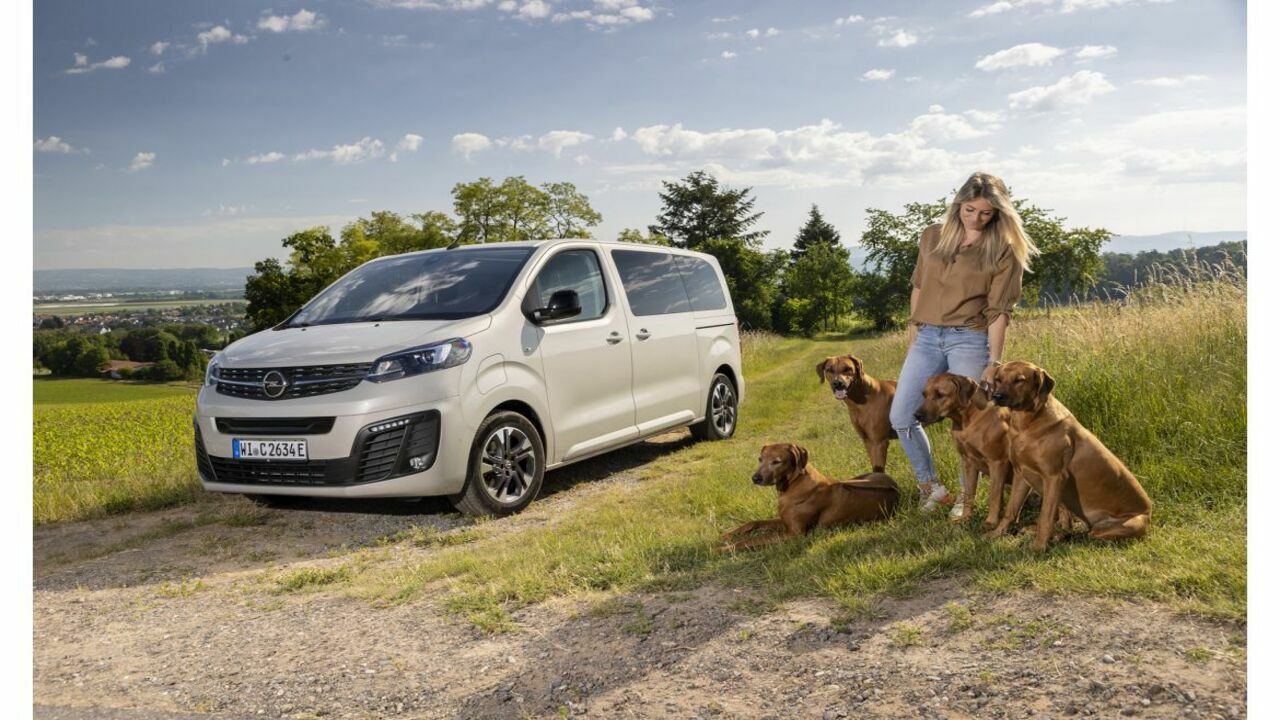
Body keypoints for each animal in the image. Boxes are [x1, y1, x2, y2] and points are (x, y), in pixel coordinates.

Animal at [721, 440, 901, 550]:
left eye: (776, 462)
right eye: (760, 459)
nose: (755, 478)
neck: (793, 485)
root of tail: (894, 484)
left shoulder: (795, 534)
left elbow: (752, 540)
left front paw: (726, 548)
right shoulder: (784, 521)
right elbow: (754, 523)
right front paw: (728, 534)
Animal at [916, 371, 1013, 525]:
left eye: (939, 394)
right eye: (924, 394)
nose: (916, 415)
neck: (968, 419)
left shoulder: (997, 462)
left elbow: (994, 495)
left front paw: (991, 522)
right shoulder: (968, 462)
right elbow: (968, 493)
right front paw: (965, 517)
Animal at [983, 358, 1157, 548]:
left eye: (1019, 380)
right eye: (998, 379)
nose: (997, 396)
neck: (1027, 425)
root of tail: (1149, 514)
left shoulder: (1054, 477)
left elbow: (1045, 517)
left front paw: (1038, 547)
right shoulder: (1021, 473)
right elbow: (1011, 510)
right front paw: (996, 534)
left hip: (1118, 526)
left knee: (1089, 536)